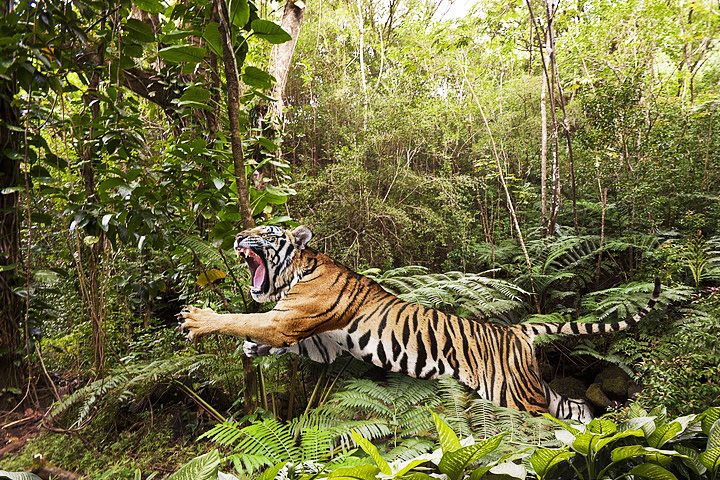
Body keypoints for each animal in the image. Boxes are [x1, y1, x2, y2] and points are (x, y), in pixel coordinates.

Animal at [178, 225, 661, 422]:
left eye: (264, 231)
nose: (239, 238)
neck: (297, 269)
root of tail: (516, 329)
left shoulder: (290, 319)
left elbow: (246, 318)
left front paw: (200, 319)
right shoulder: (321, 341)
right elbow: (274, 335)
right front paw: (251, 348)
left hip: (512, 393)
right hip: (526, 386)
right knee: (571, 406)